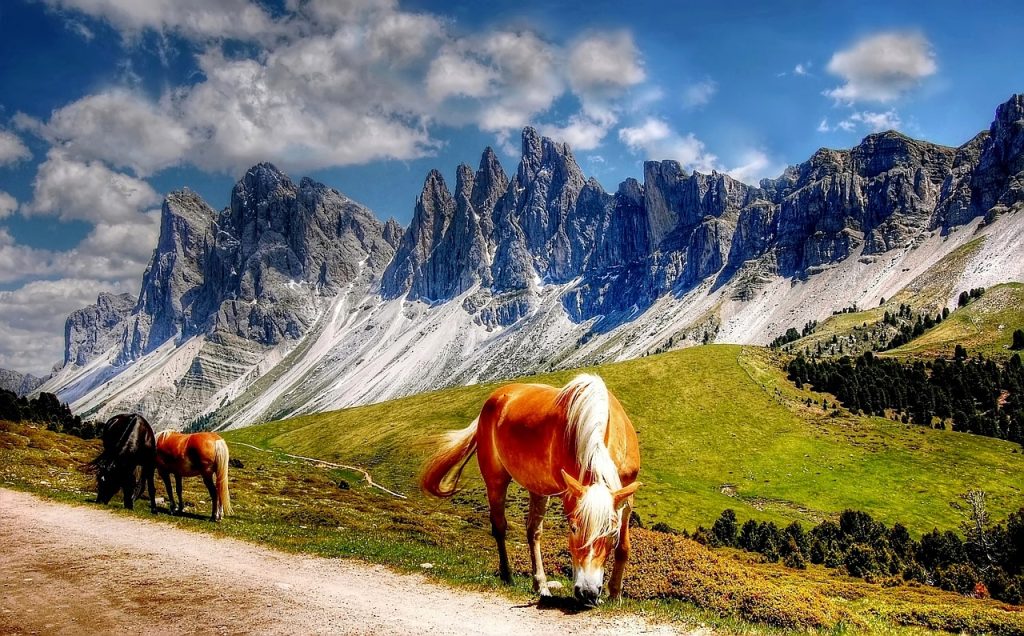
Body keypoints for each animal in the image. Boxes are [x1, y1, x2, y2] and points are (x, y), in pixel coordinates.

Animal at [417, 372, 638, 606]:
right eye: (573, 528)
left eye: (611, 533)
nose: (587, 592)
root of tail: (495, 397)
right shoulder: (569, 495)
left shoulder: (626, 497)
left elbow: (624, 547)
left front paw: (615, 594)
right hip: (495, 479)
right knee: (499, 526)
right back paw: (507, 575)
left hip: (537, 488)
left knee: (533, 532)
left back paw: (540, 584)